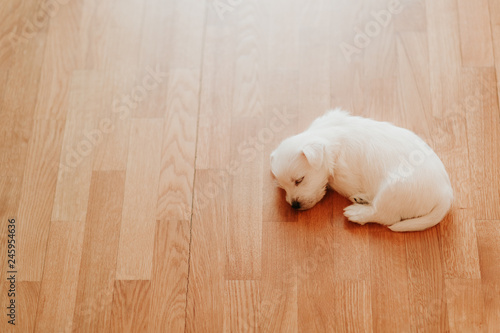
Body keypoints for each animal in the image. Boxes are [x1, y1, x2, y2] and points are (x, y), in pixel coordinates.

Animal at [270, 109, 454, 231]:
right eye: (282, 187)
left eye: (299, 180)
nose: (294, 205)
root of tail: (445, 194)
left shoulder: (343, 177)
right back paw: (361, 199)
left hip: (392, 190)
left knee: (384, 215)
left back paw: (356, 213)